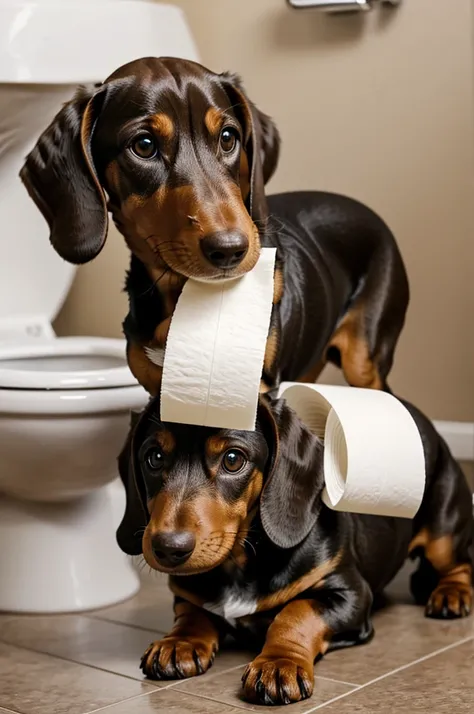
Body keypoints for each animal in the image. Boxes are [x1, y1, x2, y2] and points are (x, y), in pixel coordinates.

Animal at [117, 394, 470, 708]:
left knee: (458, 564)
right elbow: (192, 611)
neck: (240, 562)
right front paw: (178, 642)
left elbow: (296, 612)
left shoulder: (350, 593)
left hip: (443, 533)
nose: (168, 548)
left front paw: (277, 664)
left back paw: (450, 595)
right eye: (154, 458)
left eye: (233, 459)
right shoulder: (188, 591)